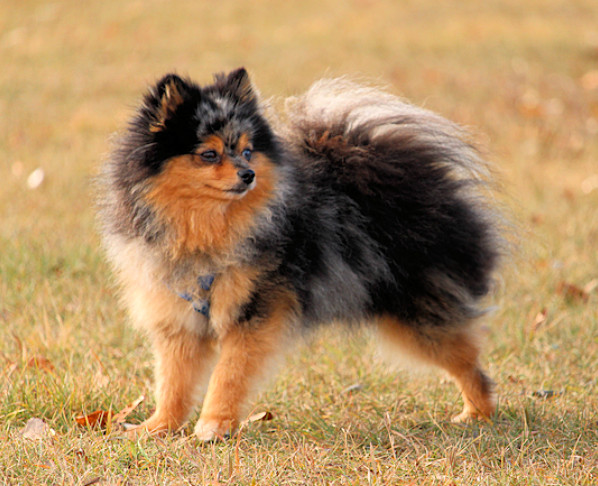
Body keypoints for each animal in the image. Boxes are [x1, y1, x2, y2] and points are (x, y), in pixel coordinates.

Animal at [97, 68, 502, 440]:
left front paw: (214, 425)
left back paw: (477, 413)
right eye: (209, 154)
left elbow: (228, 374)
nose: (248, 174)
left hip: (416, 313)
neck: (207, 231)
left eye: (247, 151)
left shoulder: (253, 312)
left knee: (468, 362)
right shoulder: (177, 318)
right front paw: (157, 427)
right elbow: (173, 382)